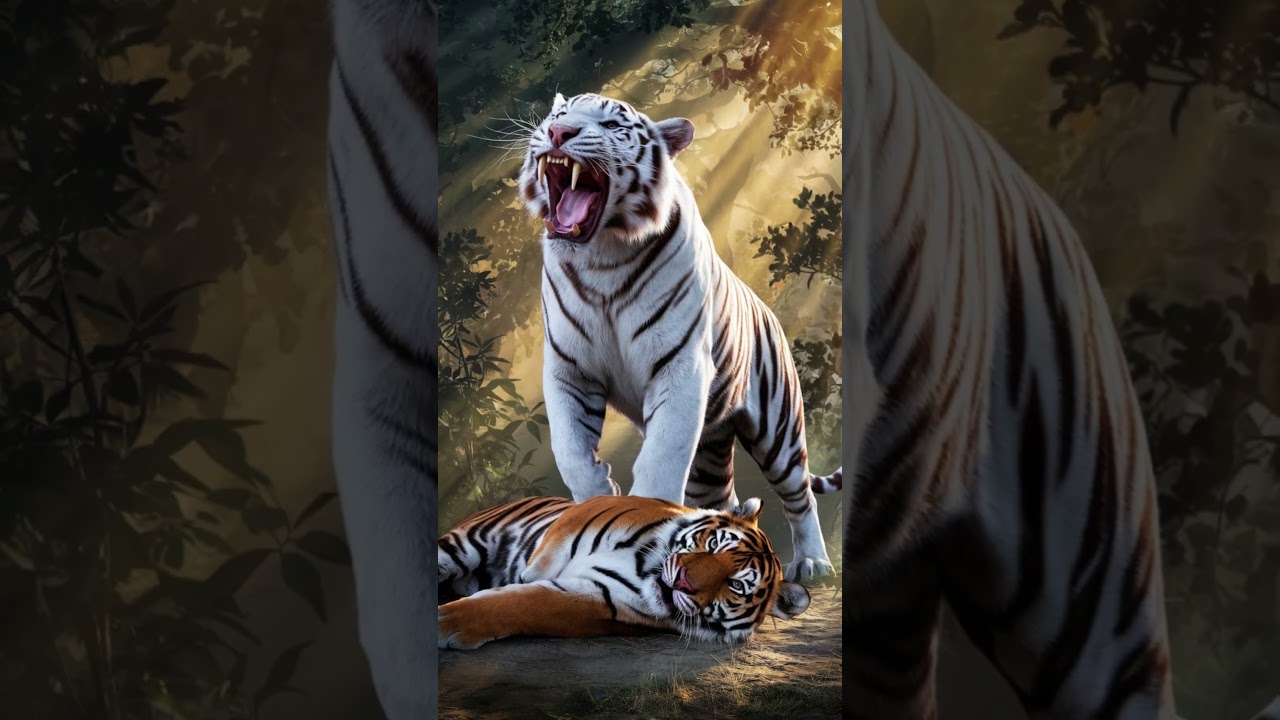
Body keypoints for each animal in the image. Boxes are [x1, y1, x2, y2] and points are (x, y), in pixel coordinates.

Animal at [436, 494, 811, 650]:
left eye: (734, 585)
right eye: (715, 544)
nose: (683, 581)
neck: (644, 567)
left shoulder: (597, 597)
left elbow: (525, 605)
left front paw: (446, 623)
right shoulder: (584, 513)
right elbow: (546, 559)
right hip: (463, 543)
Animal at [516, 91, 842, 584]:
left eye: (611, 125)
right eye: (559, 114)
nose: (557, 132)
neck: (602, 258)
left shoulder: (680, 366)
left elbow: (661, 459)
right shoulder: (569, 369)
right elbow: (570, 451)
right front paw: (599, 493)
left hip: (778, 428)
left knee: (799, 495)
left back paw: (813, 563)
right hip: (709, 450)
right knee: (722, 499)